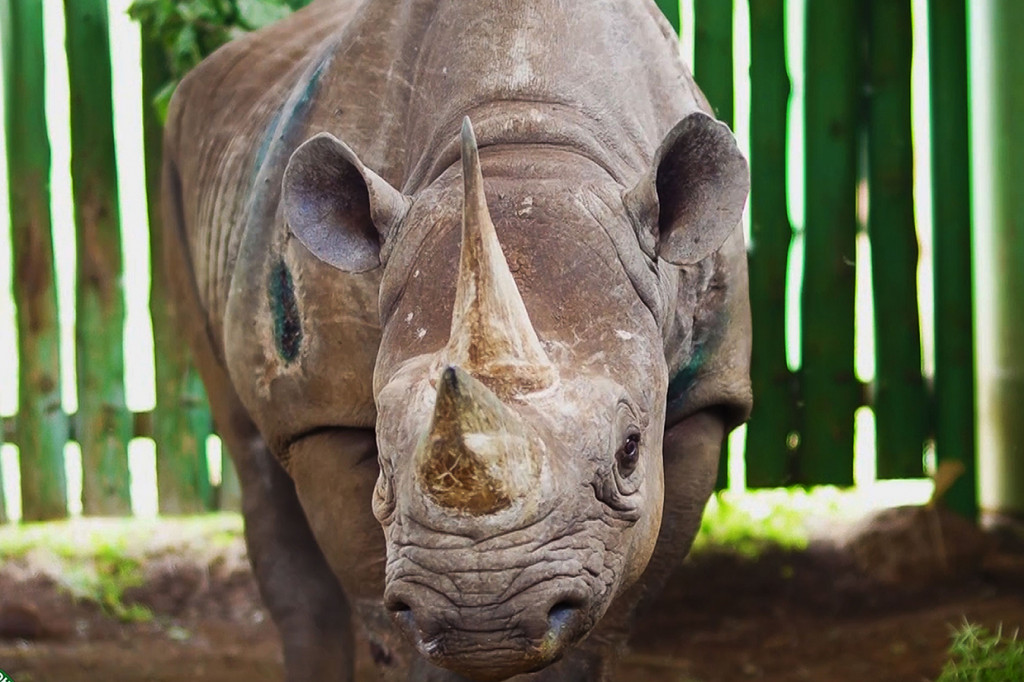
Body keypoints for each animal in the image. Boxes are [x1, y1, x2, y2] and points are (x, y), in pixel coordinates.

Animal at [161, 0, 751, 679]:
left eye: (631, 450)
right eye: (383, 459)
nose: (484, 616)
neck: (526, 136)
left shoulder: (706, 400)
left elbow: (606, 620)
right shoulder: (320, 411)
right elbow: (386, 612)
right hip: (177, 161)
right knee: (247, 445)